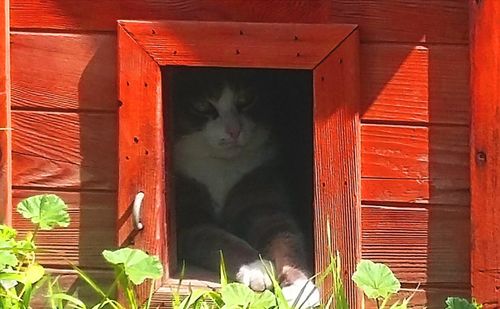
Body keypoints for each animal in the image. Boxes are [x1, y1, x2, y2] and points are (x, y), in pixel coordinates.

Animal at [172, 67, 320, 306]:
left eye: (246, 98)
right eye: (202, 105)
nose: (234, 130)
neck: (220, 166)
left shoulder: (262, 202)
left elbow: (286, 237)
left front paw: (300, 288)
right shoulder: (189, 217)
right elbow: (218, 238)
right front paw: (257, 268)